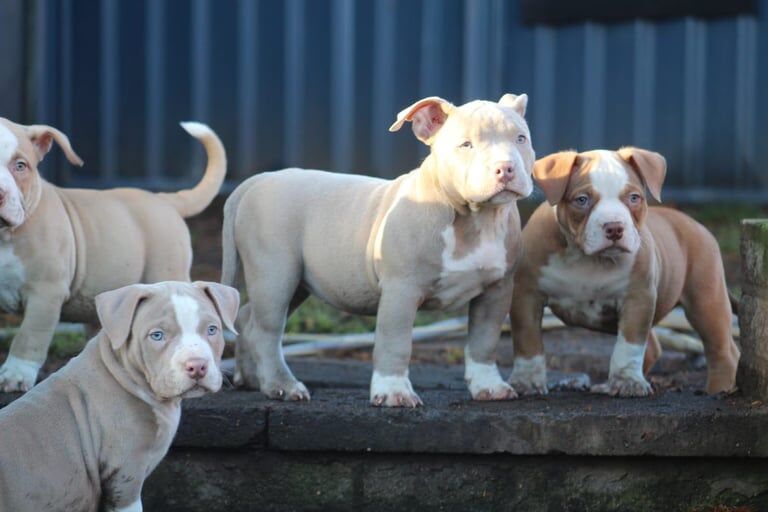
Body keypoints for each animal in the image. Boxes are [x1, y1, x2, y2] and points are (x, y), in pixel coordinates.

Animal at [220, 94, 536, 408]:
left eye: (521, 138)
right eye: (466, 145)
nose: (506, 168)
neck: (475, 218)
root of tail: (256, 180)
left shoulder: (496, 290)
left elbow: (484, 340)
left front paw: (489, 386)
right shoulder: (401, 290)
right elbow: (395, 341)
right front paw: (394, 392)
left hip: (296, 282)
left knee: (248, 318)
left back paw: (252, 378)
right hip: (275, 272)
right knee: (266, 330)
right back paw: (282, 385)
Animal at [508, 148, 740, 396]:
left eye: (634, 198)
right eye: (582, 200)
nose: (614, 227)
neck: (587, 259)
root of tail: (696, 225)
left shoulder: (638, 298)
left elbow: (629, 345)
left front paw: (627, 382)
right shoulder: (526, 294)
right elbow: (528, 341)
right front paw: (527, 382)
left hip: (706, 300)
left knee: (722, 350)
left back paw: (719, 389)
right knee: (655, 348)